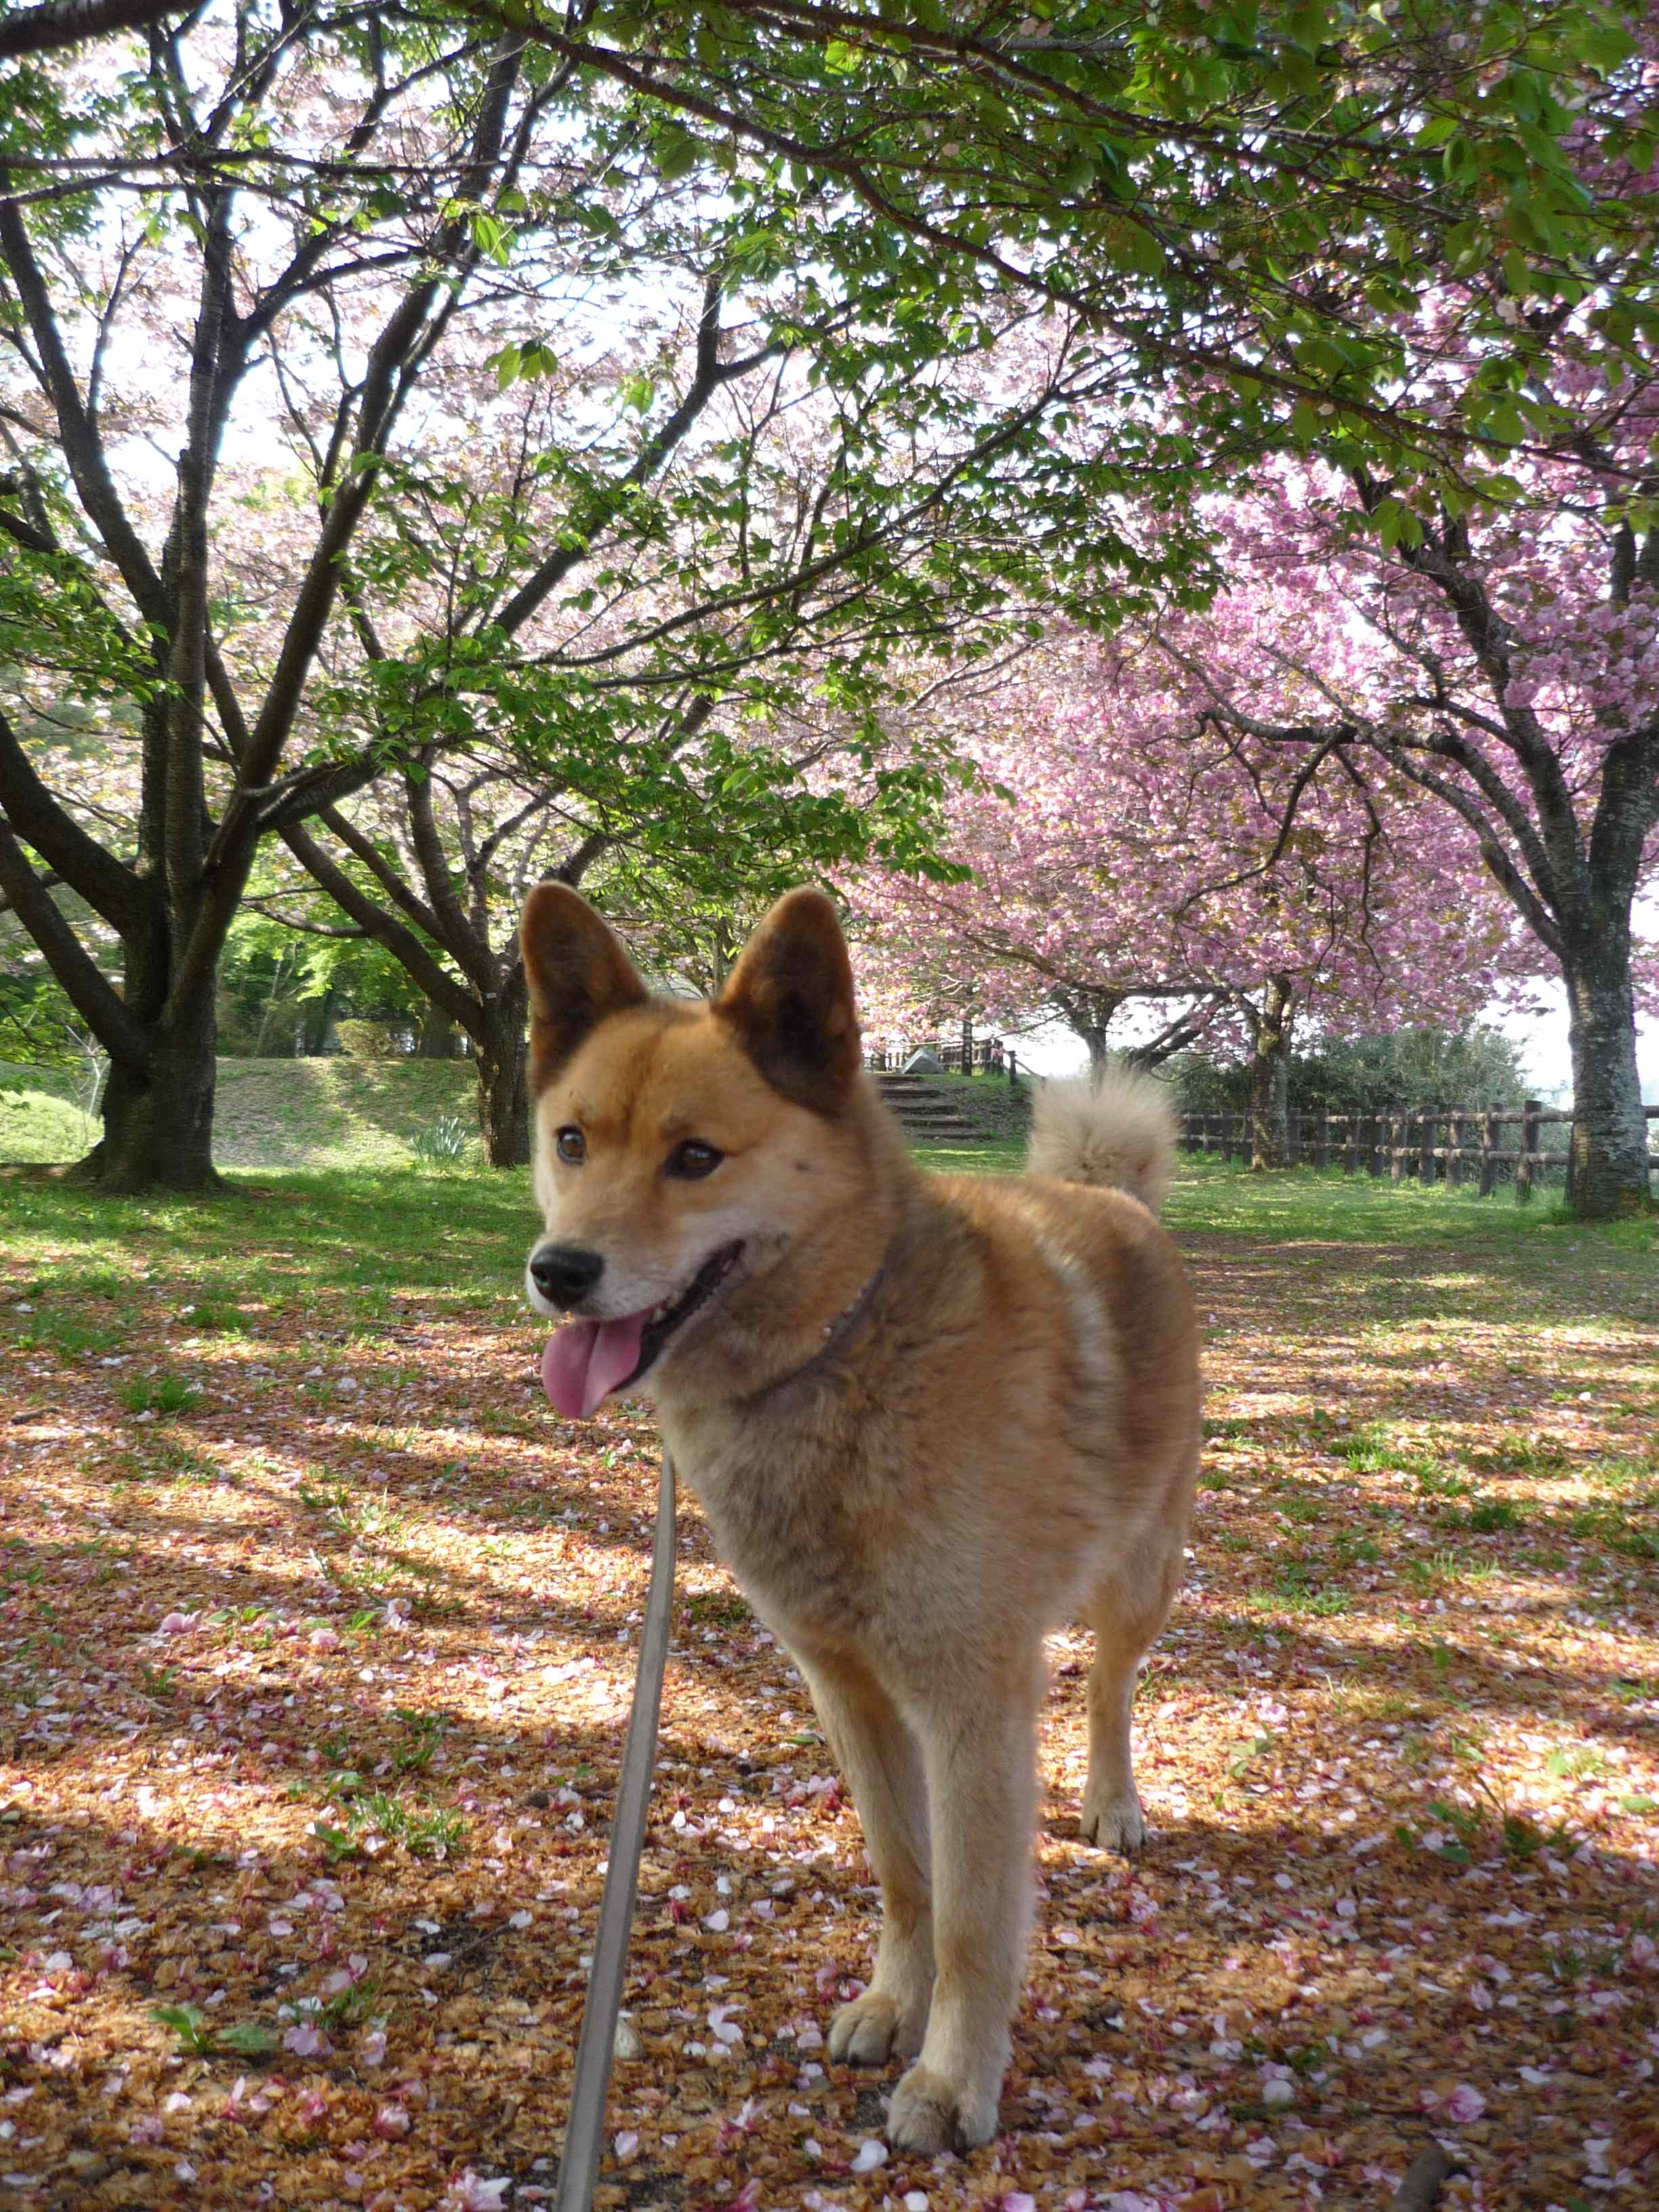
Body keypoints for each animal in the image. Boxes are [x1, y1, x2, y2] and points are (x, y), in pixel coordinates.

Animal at [520, 884, 1194, 2158]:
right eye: (572, 1141)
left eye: (695, 1157)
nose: (559, 1270)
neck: (842, 1346)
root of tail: (1110, 1192)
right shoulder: (850, 1688)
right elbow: (906, 1873)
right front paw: (895, 2003)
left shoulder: (968, 1703)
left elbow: (977, 1917)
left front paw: (954, 2077)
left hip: (1139, 1574)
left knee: (1111, 1686)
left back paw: (1111, 1799)